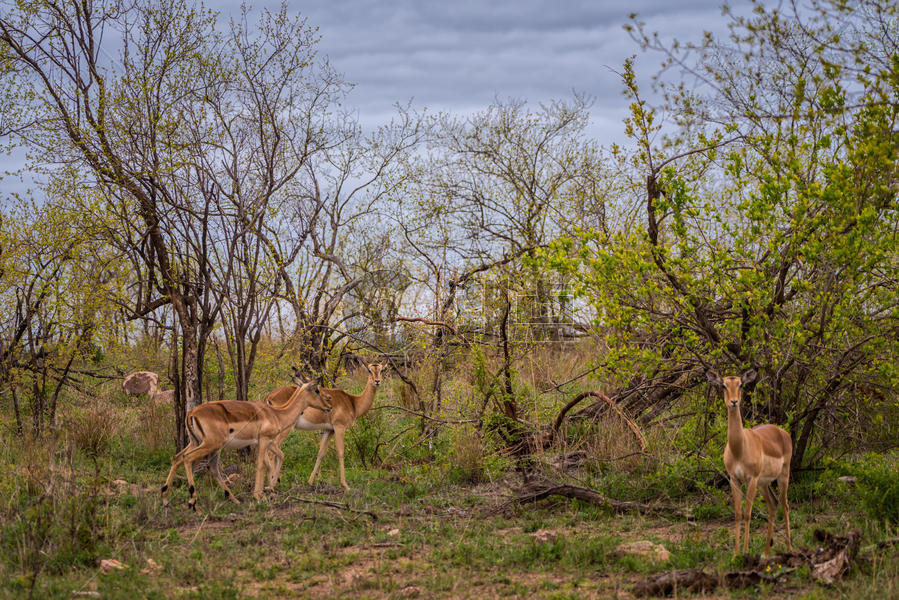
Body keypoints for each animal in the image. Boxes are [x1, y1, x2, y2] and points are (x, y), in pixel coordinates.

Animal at [160, 380, 332, 510]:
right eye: (317, 390)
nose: (328, 407)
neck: (277, 414)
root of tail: (192, 412)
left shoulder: (266, 442)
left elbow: (278, 458)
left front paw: (270, 491)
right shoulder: (264, 440)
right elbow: (261, 465)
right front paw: (260, 495)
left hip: (196, 442)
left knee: (180, 458)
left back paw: (167, 499)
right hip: (211, 444)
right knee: (188, 458)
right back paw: (192, 502)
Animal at [708, 370, 792, 556]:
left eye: (740, 384)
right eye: (724, 385)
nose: (734, 402)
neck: (739, 448)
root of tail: (782, 432)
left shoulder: (751, 479)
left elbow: (747, 513)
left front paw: (745, 552)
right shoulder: (734, 479)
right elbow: (738, 514)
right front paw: (736, 554)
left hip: (783, 475)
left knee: (785, 504)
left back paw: (790, 548)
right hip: (764, 483)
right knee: (773, 505)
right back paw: (765, 552)